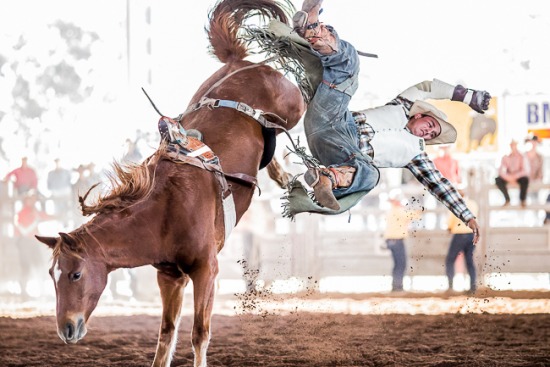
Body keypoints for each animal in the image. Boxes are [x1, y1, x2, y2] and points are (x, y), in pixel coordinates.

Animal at [36, 0, 306, 367]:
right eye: (52, 275)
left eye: (75, 274)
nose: (66, 329)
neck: (166, 210)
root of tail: (239, 64)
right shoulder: (169, 275)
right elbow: (167, 333)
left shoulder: (207, 270)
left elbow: (199, 332)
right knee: (272, 144)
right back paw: (282, 175)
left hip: (294, 105)